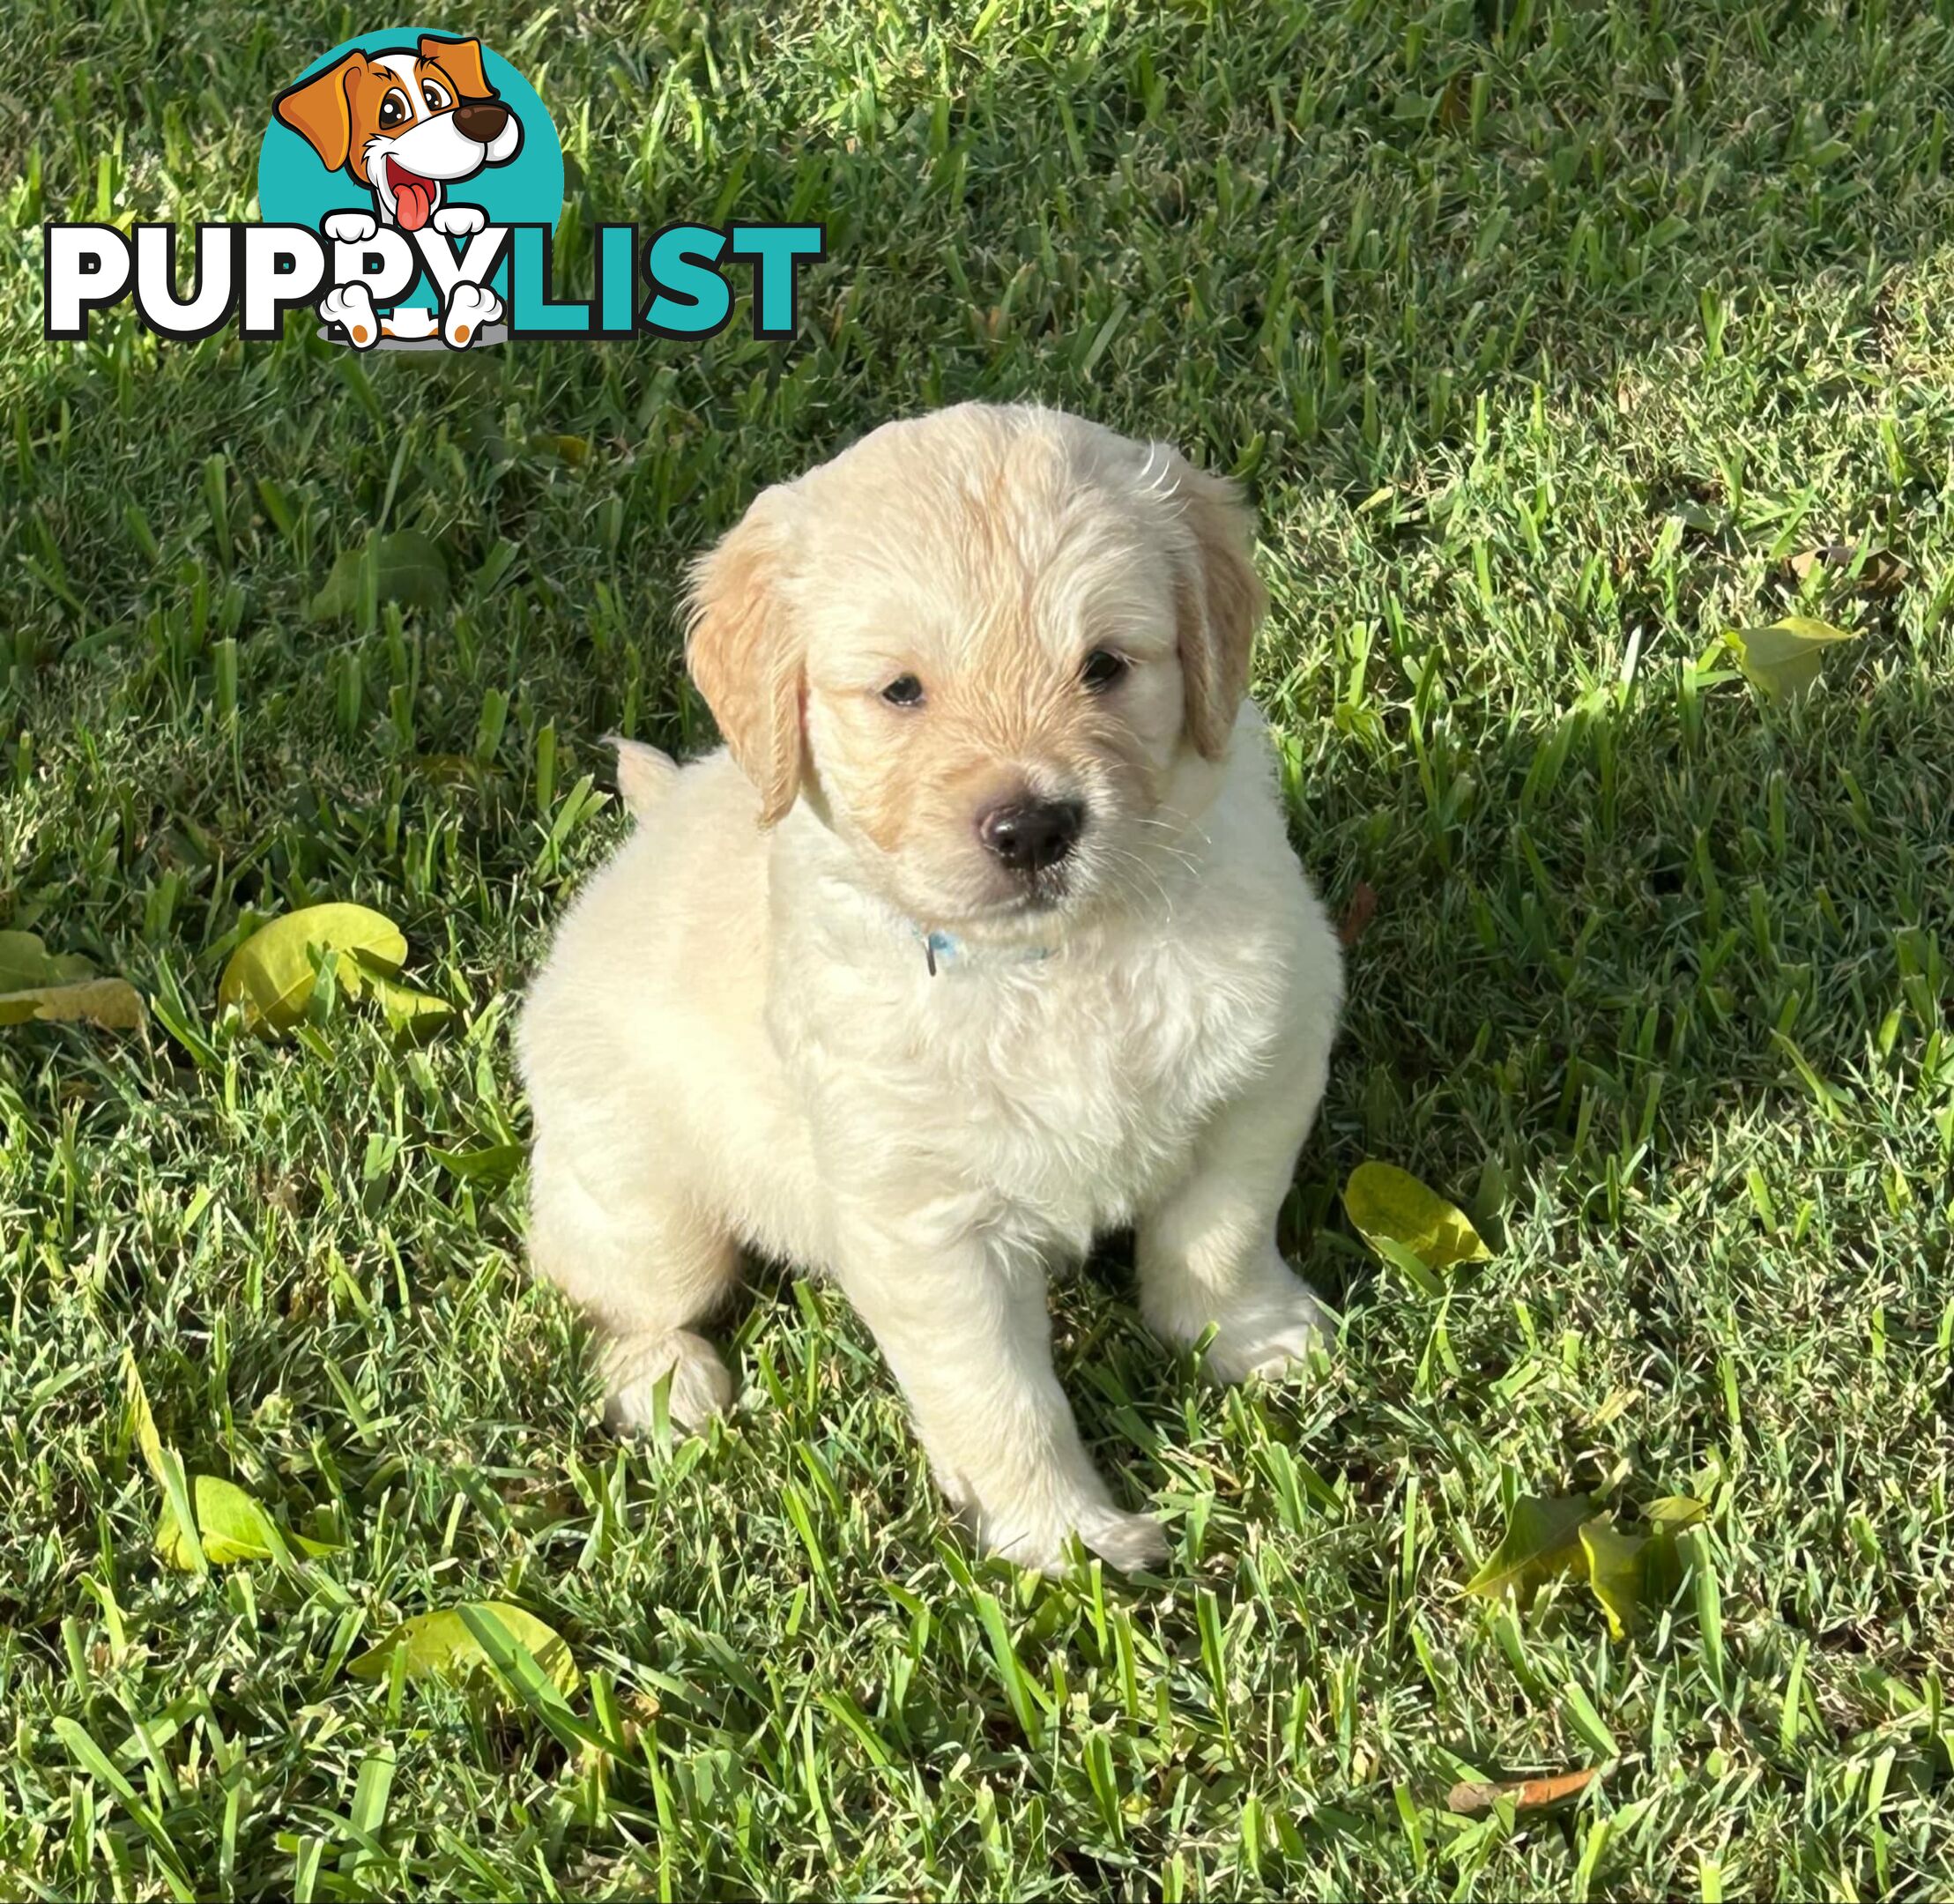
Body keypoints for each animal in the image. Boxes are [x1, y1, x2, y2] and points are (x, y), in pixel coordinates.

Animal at [519, 398, 1344, 1564]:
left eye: (1105, 666)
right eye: (901, 691)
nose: (1034, 828)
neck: (1050, 964)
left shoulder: (1266, 1070)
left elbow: (1219, 1233)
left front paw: (1254, 1338)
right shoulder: (923, 1223)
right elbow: (996, 1394)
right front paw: (1064, 1538)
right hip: (644, 1205)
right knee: (613, 1289)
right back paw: (667, 1385)